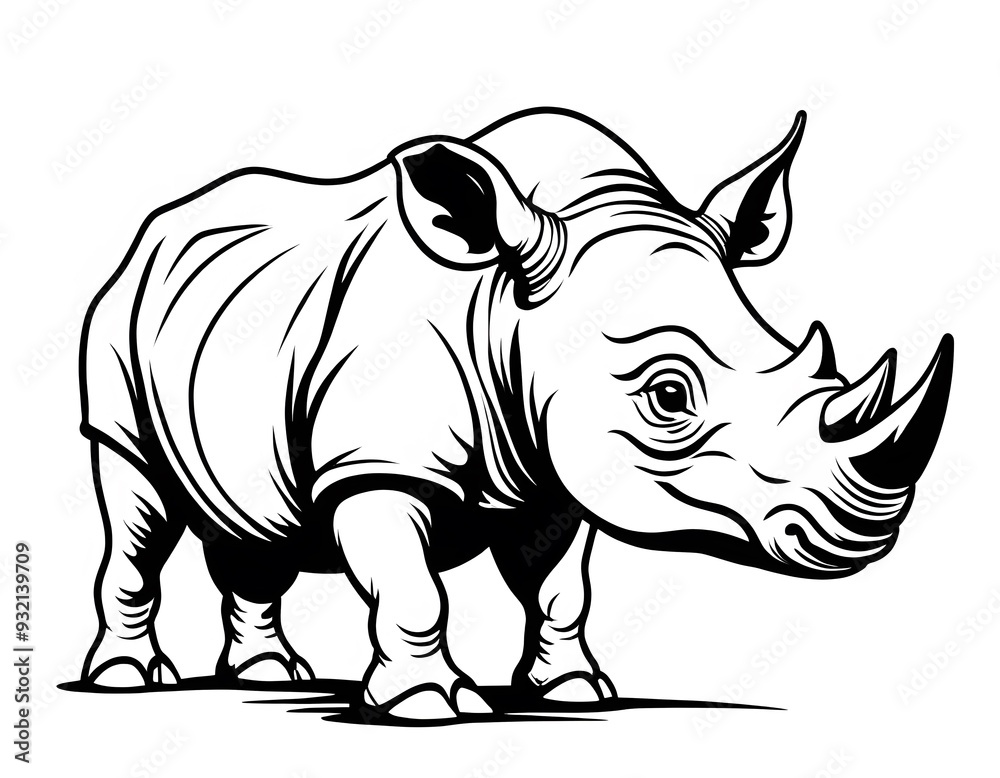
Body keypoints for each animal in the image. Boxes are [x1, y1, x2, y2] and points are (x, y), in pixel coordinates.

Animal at [79, 107, 953, 720]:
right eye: (669, 397)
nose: (868, 530)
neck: (512, 317)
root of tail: (155, 228)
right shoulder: (377, 466)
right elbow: (414, 587)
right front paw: (428, 706)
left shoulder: (550, 470)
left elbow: (558, 586)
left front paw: (574, 690)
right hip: (116, 335)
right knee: (138, 505)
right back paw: (127, 680)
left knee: (254, 526)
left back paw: (266, 673)